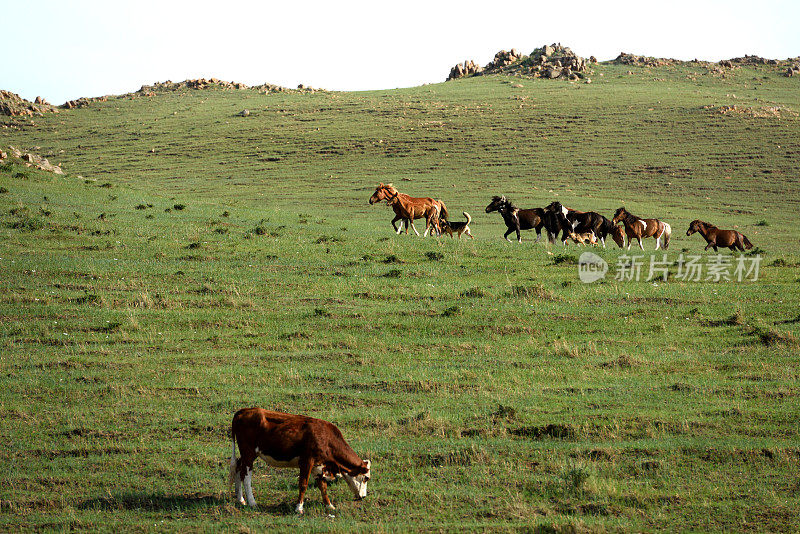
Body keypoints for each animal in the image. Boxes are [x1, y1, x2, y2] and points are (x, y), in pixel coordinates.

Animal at [228, 410, 372, 516]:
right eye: (366, 478)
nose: (364, 497)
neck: (326, 438)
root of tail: (243, 411)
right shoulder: (306, 461)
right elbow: (303, 484)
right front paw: (299, 508)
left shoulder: (318, 466)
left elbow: (323, 486)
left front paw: (329, 505)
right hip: (249, 453)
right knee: (246, 476)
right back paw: (252, 502)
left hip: (246, 454)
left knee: (238, 468)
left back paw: (241, 499)